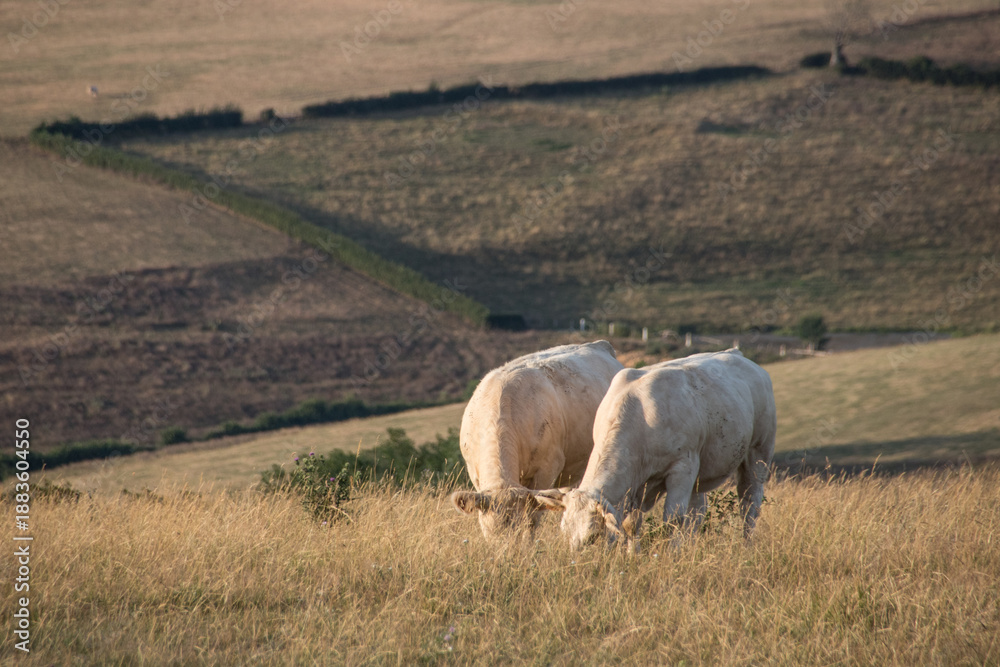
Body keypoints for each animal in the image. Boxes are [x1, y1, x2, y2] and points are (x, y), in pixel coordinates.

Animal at [532, 349, 776, 550]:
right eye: (565, 532)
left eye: (592, 537)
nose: (577, 564)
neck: (640, 418)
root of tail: (738, 355)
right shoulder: (637, 484)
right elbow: (631, 524)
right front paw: (633, 555)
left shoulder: (683, 467)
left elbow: (673, 519)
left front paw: (672, 554)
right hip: (703, 473)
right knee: (697, 513)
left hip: (758, 453)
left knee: (749, 505)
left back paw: (746, 546)